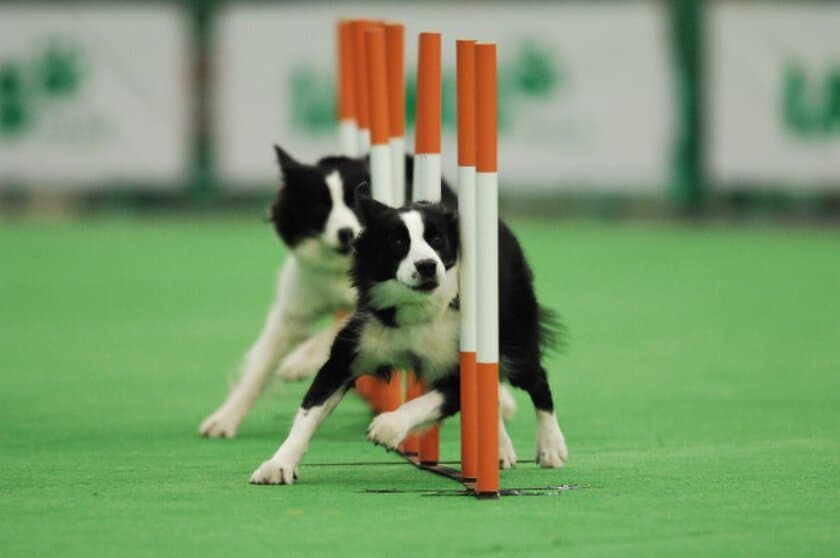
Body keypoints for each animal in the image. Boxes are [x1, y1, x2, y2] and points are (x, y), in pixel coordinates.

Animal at [246, 191, 568, 486]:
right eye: (398, 242)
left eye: (437, 239)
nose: (426, 265)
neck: (415, 308)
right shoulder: (350, 353)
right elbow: (309, 411)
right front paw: (279, 464)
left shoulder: (458, 365)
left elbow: (427, 401)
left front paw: (388, 427)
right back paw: (501, 448)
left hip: (513, 332)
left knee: (536, 378)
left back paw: (551, 447)